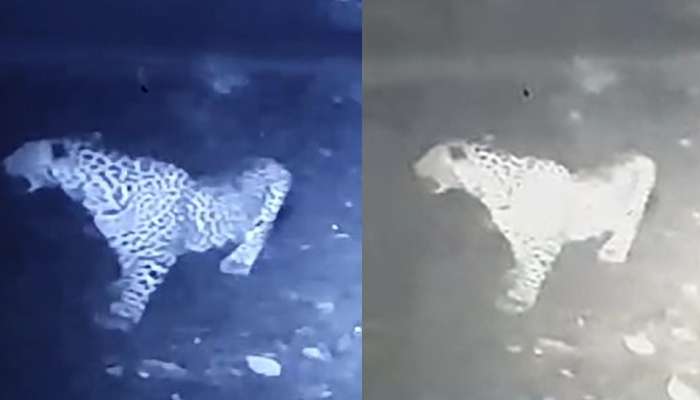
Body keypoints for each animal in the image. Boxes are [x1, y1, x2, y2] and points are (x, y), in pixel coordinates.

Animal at [3, 132, 292, 331]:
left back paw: (238, 261)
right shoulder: (123, 243)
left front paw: (125, 312)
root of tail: (275, 162)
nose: (3, 162)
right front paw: (120, 286)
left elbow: (141, 281)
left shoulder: (157, 254)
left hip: (268, 209)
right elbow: (129, 267)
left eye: (20, 152)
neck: (99, 197)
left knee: (259, 234)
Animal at [413, 137, 657, 315]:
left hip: (632, 206)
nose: (413, 171)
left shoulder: (545, 241)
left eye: (428, 161)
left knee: (628, 227)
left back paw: (614, 250)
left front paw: (520, 298)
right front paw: (516, 277)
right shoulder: (517, 236)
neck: (490, 190)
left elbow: (533, 270)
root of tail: (641, 155)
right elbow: (522, 259)